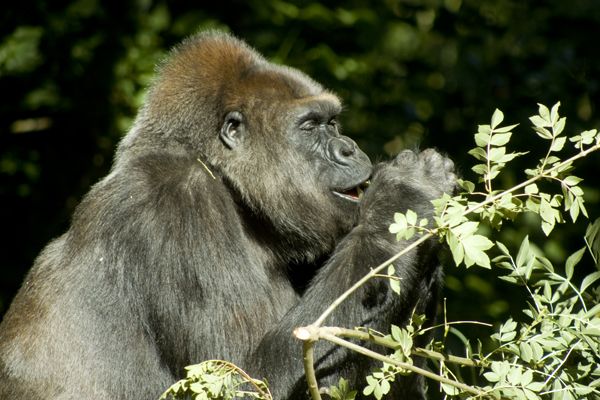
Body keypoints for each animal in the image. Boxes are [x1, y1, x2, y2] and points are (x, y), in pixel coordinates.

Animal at [0, 31, 452, 400]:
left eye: (333, 122)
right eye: (310, 127)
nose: (349, 148)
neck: (225, 181)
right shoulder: (180, 204)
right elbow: (242, 380)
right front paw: (405, 195)